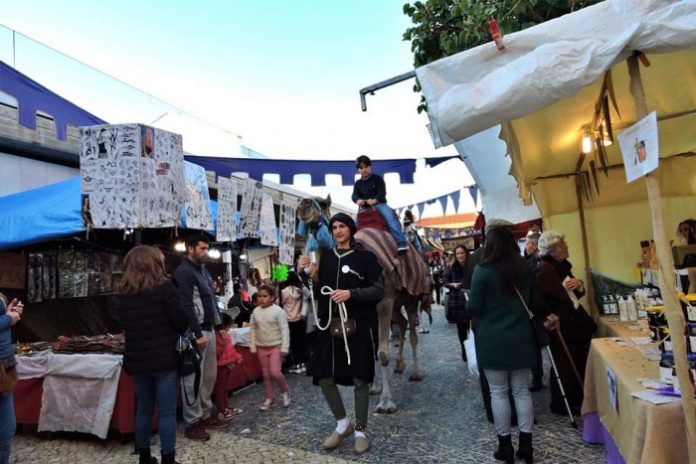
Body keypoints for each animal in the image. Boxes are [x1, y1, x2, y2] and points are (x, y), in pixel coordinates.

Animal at [294, 196, 430, 414]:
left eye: (322, 203)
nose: (303, 204)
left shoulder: (383, 303)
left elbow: (382, 353)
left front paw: (386, 403)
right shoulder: (371, 312)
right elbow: (371, 350)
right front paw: (373, 388)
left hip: (409, 298)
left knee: (412, 332)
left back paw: (416, 373)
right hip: (394, 306)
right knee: (401, 324)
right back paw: (399, 366)